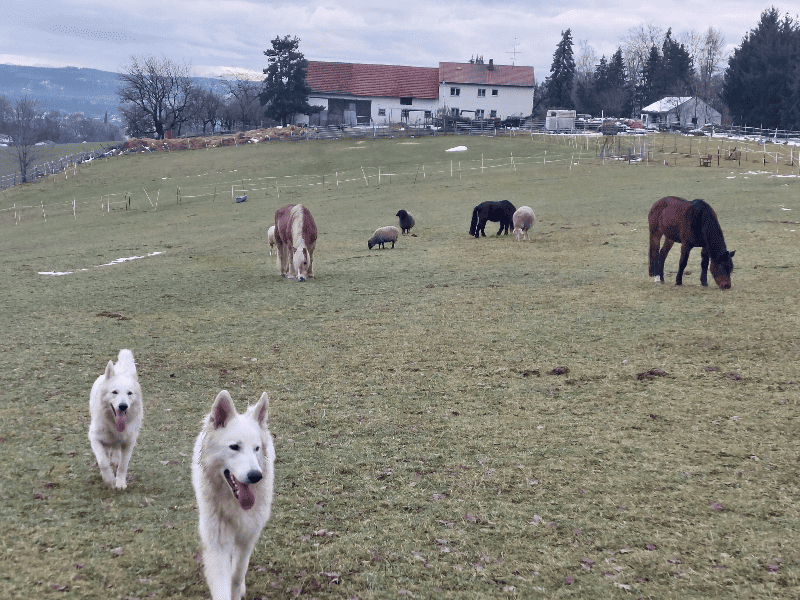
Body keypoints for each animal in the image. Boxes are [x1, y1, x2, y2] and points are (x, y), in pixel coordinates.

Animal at [88, 350, 144, 490]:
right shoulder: (94, 437)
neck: (114, 424)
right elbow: (103, 461)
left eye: (129, 393)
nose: (123, 406)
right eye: (114, 392)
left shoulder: (129, 442)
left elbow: (123, 465)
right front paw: (109, 480)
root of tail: (120, 370)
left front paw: (120, 482)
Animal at [191, 390, 276, 600]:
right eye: (234, 447)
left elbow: (237, 573)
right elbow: (222, 583)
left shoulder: (248, 536)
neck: (234, 502)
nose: (255, 476)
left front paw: (237, 587)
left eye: (256, 448)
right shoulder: (218, 543)